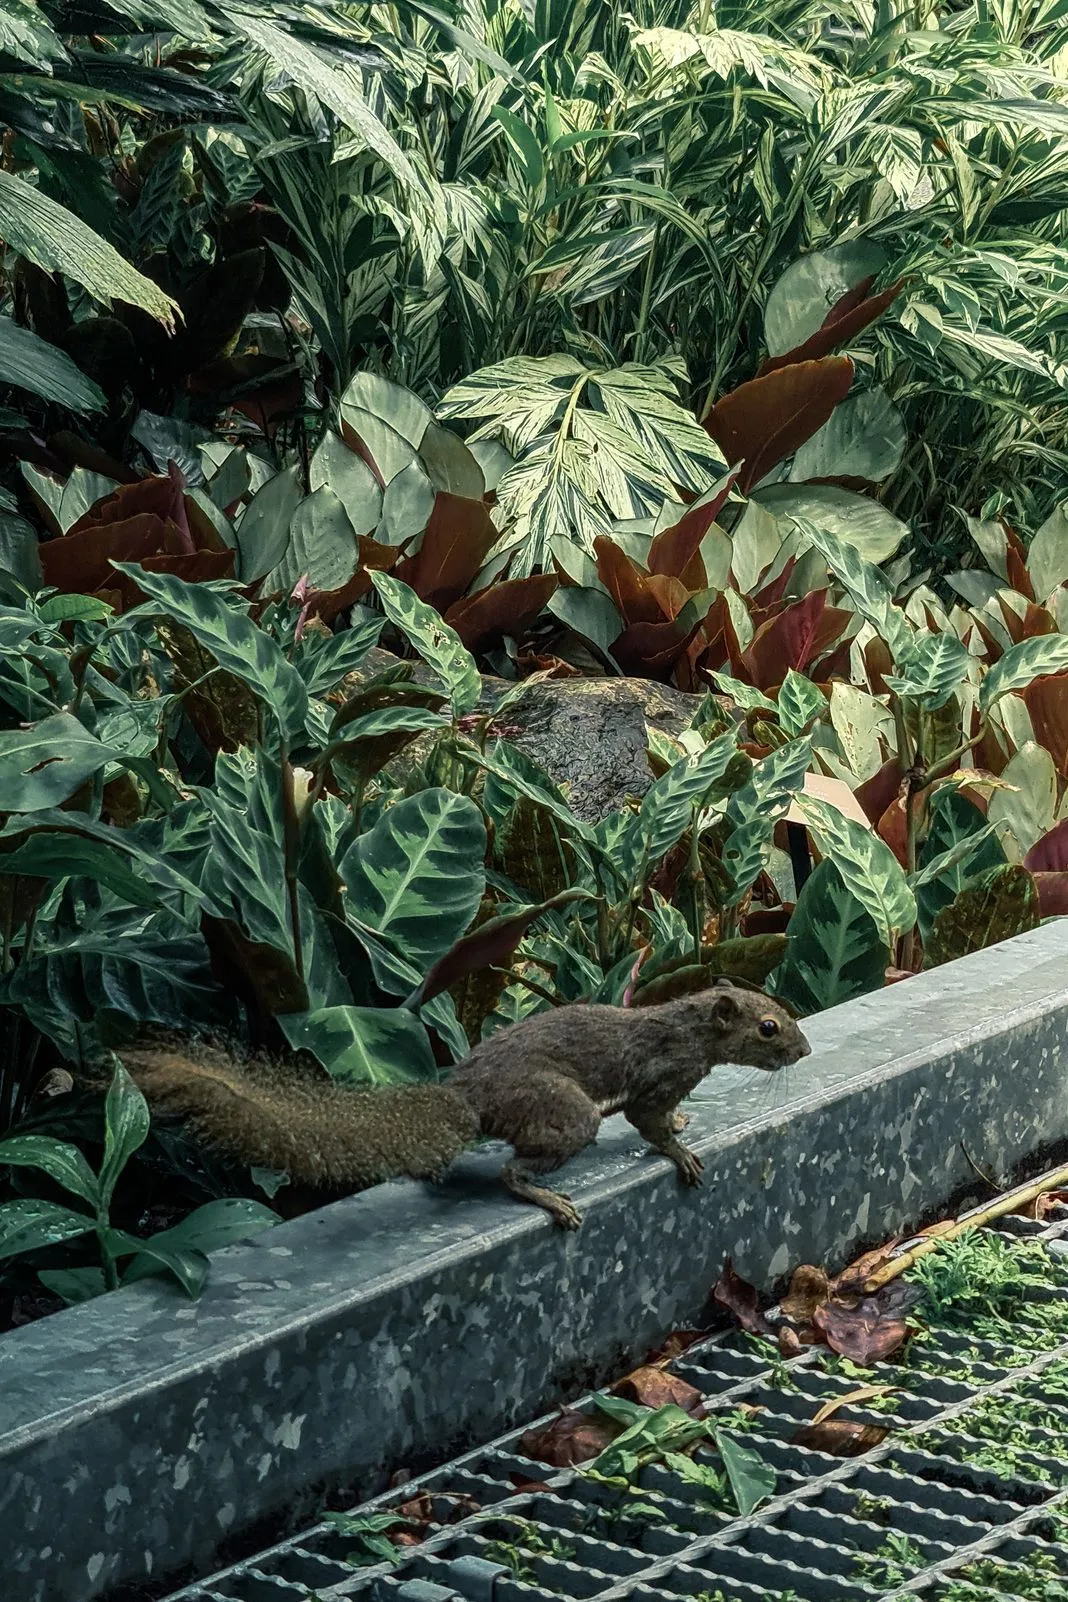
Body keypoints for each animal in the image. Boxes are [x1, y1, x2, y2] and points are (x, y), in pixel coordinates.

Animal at [117, 980, 810, 1230]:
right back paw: (545, 1197)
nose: (803, 1050)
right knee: (511, 1169)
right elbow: (648, 1123)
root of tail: (467, 1095)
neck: (690, 1027)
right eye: (769, 1027)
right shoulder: (663, 1074)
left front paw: (685, 1122)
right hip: (565, 1112)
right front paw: (679, 1149)